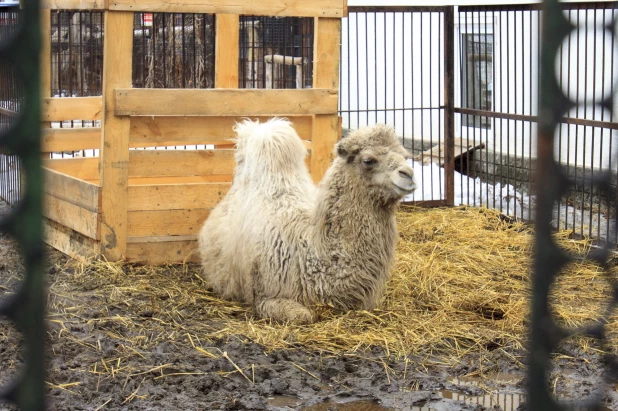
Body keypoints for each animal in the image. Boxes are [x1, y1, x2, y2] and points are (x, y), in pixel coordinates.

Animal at [197, 119, 416, 326]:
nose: (409, 175)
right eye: (368, 160)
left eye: (405, 156)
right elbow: (304, 315)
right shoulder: (265, 296)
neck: (312, 255)